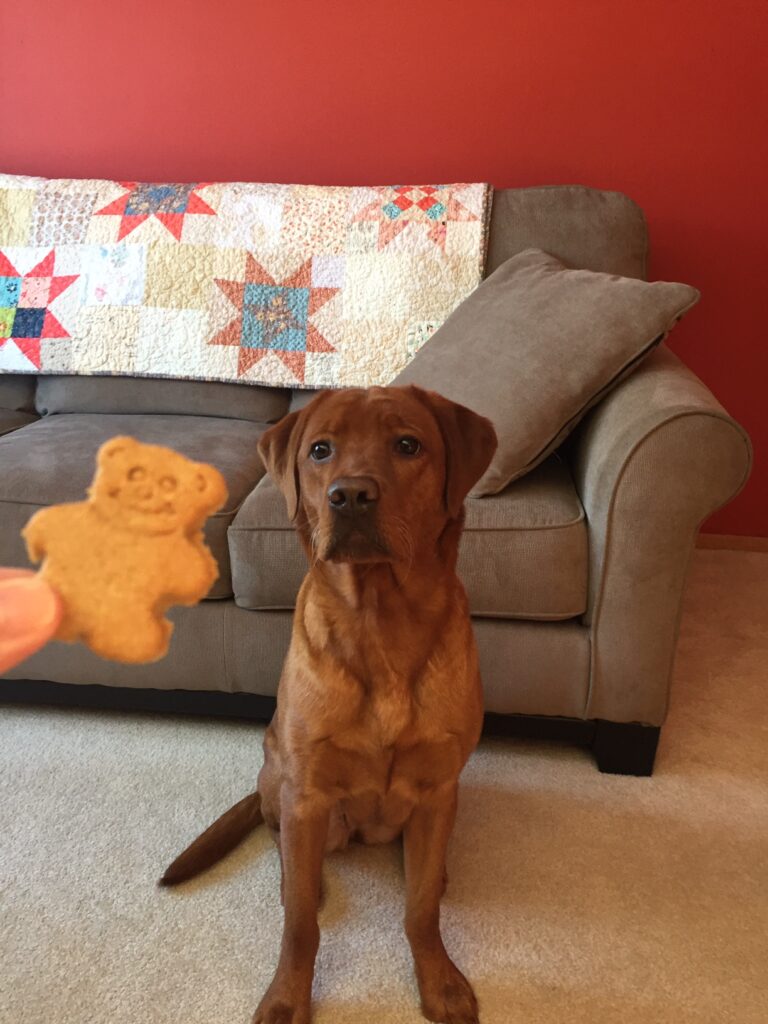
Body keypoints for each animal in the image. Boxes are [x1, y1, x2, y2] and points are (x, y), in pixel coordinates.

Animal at [160, 385, 499, 1024]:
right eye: (321, 450)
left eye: (408, 444)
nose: (351, 495)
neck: (379, 622)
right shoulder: (310, 792)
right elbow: (298, 926)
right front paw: (287, 996)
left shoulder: (438, 787)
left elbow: (421, 913)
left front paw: (439, 982)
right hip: (289, 788)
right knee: (280, 840)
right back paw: (304, 875)